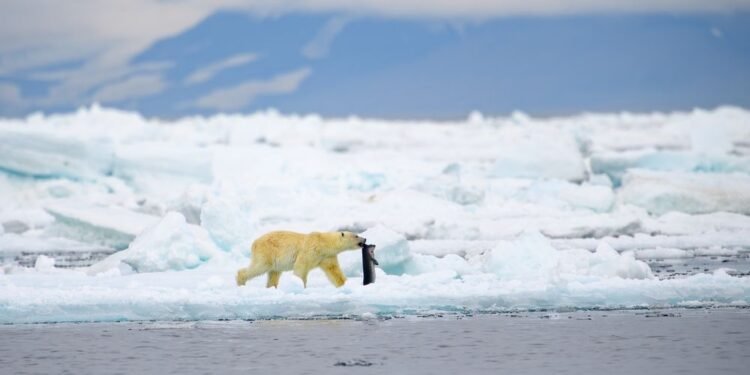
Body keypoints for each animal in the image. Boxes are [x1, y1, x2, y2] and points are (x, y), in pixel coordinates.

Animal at [235, 231, 364, 290]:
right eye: (356, 235)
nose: (365, 239)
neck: (324, 243)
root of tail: (255, 242)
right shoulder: (311, 250)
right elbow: (301, 267)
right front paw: (302, 287)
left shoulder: (327, 256)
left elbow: (334, 271)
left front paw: (345, 284)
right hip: (267, 252)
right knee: (259, 267)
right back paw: (241, 282)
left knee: (274, 274)